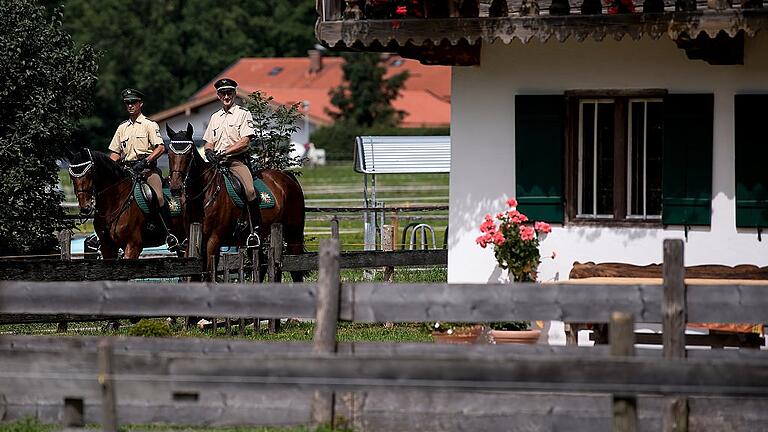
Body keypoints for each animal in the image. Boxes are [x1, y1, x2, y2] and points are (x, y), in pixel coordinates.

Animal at [165, 123, 306, 282]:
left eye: (188, 155)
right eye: (169, 155)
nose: (175, 188)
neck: (203, 196)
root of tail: (286, 176)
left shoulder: (213, 240)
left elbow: (208, 274)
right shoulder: (191, 239)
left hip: (293, 232)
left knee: (296, 269)